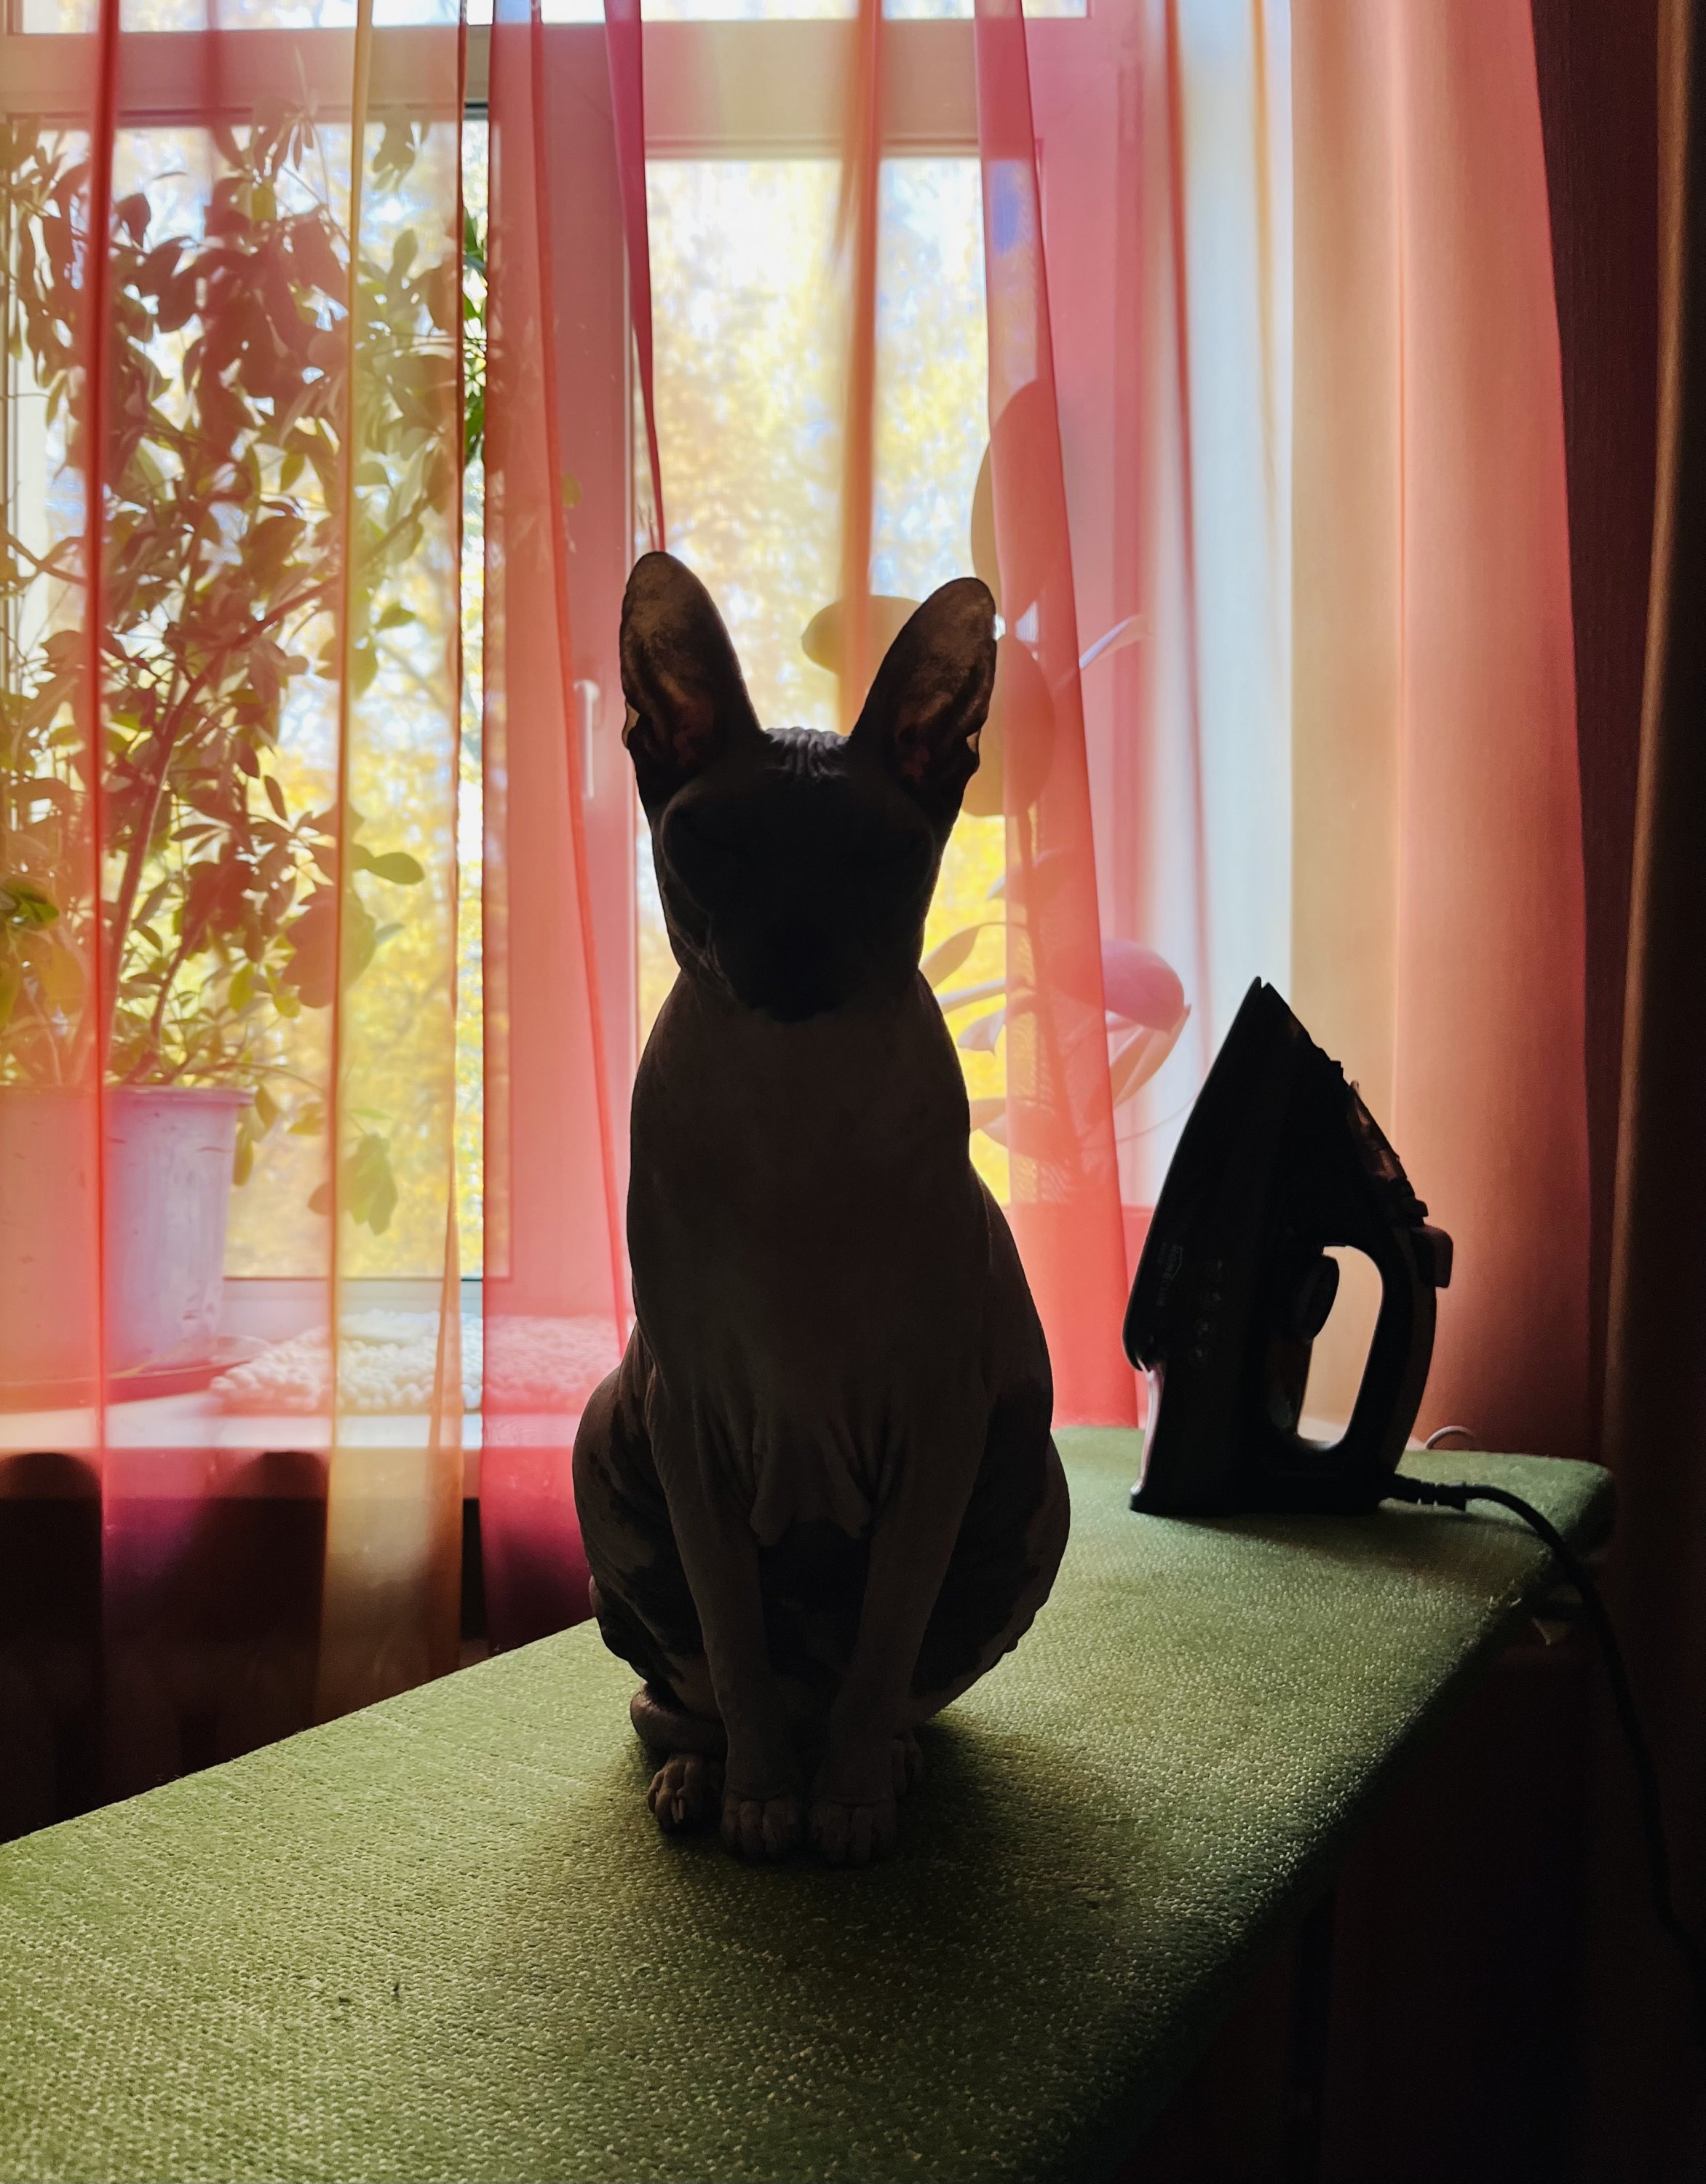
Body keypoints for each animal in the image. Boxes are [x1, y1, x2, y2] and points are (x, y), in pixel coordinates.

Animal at [572, 551, 1069, 1867]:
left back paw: (867, 1763)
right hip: (611, 1446)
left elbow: (887, 1634)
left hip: (1027, 1491)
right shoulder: (690, 1420)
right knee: (685, 1685)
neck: (791, 1117)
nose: (792, 941)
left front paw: (840, 1805)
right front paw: (760, 1802)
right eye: (710, 841)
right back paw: (710, 1777)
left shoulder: (937, 1421)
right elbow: (732, 1645)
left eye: (873, 855)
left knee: (883, 1684)